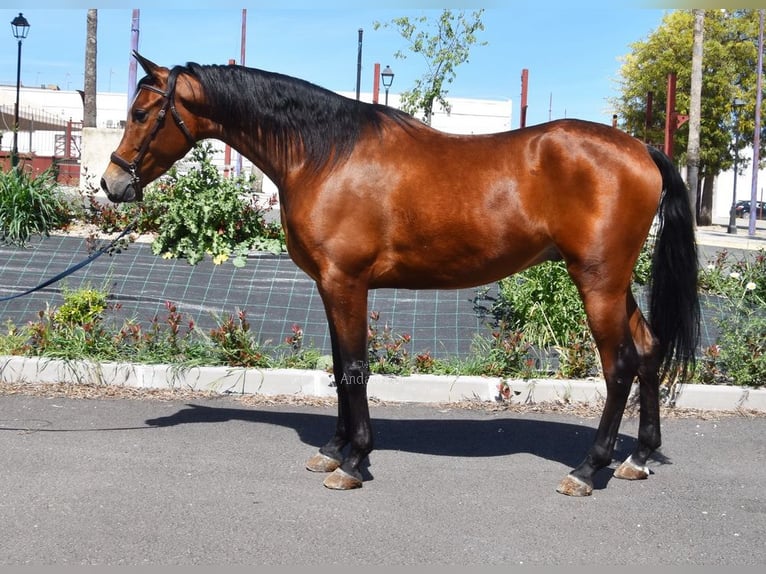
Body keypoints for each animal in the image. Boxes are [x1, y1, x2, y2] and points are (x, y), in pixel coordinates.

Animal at [101, 53, 699, 497]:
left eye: (141, 113)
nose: (111, 184)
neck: (326, 155)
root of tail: (641, 148)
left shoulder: (346, 282)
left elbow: (355, 367)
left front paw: (354, 462)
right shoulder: (330, 285)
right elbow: (340, 366)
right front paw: (334, 451)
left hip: (597, 281)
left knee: (619, 366)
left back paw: (588, 469)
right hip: (613, 283)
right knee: (649, 350)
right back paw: (638, 457)